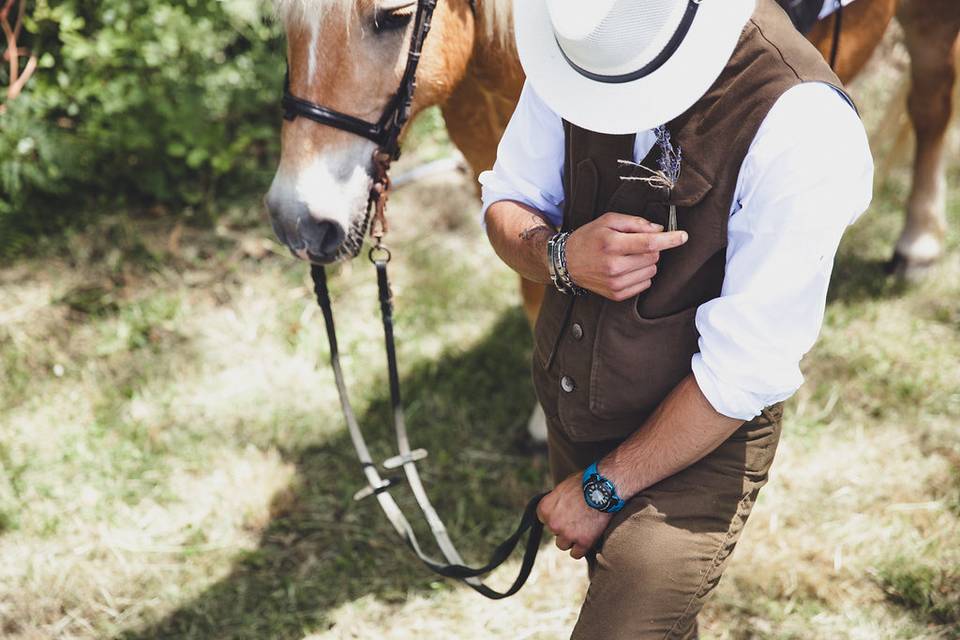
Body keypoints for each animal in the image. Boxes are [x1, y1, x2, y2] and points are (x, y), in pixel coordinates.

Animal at [266, 0, 960, 440]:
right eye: (285, 23)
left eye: (393, 17)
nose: (297, 219)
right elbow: (541, 280)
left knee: (931, 101)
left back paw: (917, 240)